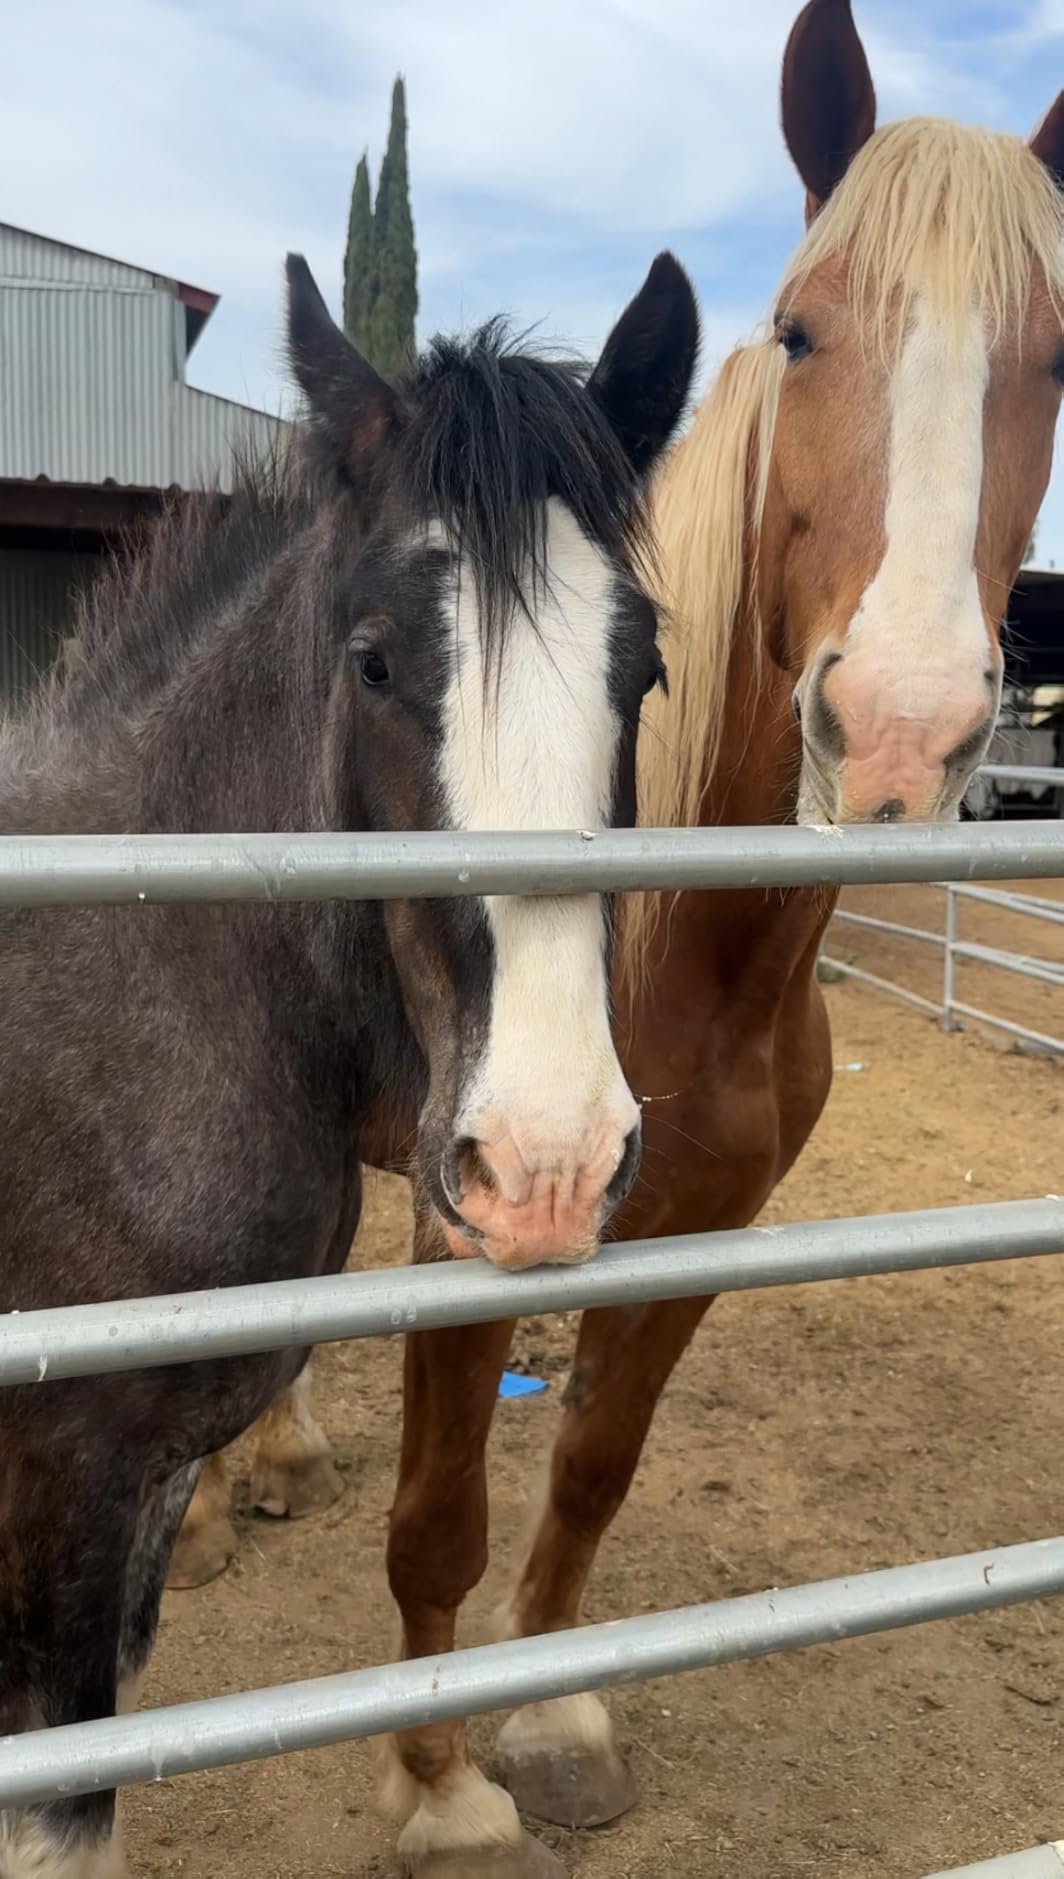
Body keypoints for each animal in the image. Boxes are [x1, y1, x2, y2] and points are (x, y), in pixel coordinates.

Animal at [169, 7, 1064, 1874]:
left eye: (1059, 359)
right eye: (800, 328)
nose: (899, 724)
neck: (685, 954)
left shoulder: (699, 1227)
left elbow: (591, 1470)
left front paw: (552, 1716)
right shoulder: (472, 1228)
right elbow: (439, 1519)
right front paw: (440, 1782)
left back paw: (271, 1455)